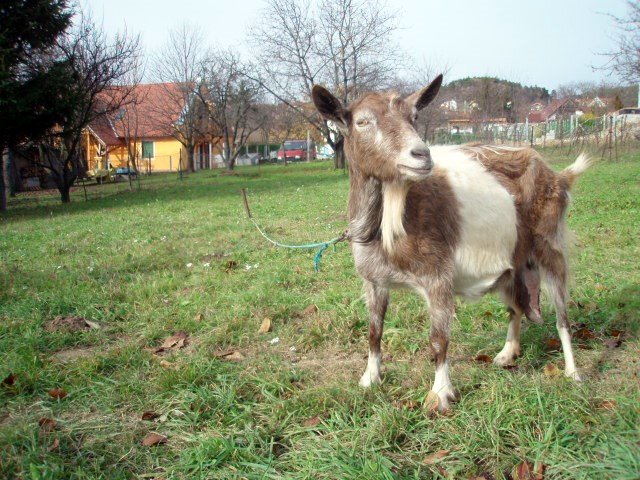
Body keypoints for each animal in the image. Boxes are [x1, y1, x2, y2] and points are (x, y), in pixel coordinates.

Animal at [310, 76, 592, 412]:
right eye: (362, 121)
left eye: (414, 117)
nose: (421, 154)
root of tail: (559, 176)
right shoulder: (374, 280)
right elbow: (374, 331)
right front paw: (370, 378)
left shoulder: (438, 277)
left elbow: (438, 339)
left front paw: (440, 394)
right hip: (513, 264)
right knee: (515, 307)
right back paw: (507, 354)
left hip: (549, 246)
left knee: (562, 316)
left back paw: (573, 372)